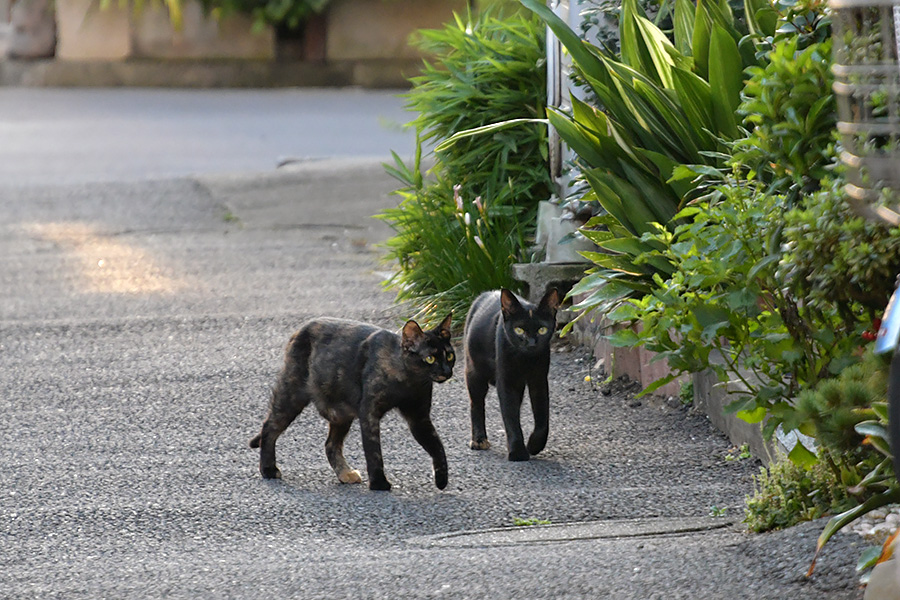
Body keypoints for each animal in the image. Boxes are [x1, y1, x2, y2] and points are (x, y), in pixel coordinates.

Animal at [248, 316, 454, 490]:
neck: (409, 382)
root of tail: (299, 329)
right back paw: (268, 469)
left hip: (341, 413)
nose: (447, 371)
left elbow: (437, 446)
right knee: (269, 427)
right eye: (430, 358)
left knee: (330, 445)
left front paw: (442, 479)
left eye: (450, 356)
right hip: (291, 395)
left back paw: (345, 474)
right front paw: (379, 483)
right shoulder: (369, 413)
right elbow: (373, 451)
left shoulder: (419, 417)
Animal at [468, 288, 560, 462]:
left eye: (542, 330)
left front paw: (534, 445)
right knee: (476, 404)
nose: (531, 343)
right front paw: (517, 452)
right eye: (519, 330)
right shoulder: (507, 382)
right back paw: (479, 440)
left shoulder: (539, 380)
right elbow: (510, 416)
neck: (525, 360)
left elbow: (543, 416)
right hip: (474, 372)